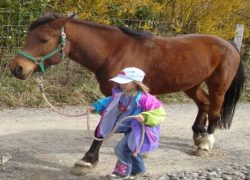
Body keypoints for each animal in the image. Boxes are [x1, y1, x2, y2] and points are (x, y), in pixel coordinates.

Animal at [9, 13, 244, 176]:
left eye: (43, 39)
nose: (16, 68)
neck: (114, 51)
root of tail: (229, 44)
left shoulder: (120, 95)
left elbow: (102, 128)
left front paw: (87, 161)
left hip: (218, 86)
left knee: (214, 110)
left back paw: (205, 143)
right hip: (191, 84)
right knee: (203, 104)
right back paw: (198, 135)